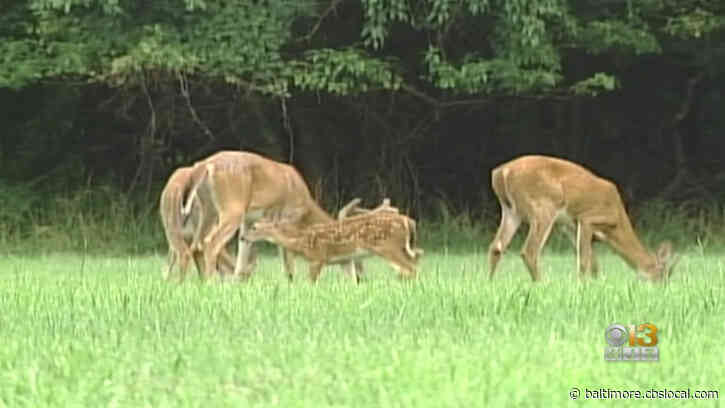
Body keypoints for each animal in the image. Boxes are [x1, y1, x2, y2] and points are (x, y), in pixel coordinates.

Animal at [182, 150, 362, 282]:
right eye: (352, 255)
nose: (358, 279)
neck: (306, 208)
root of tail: (205, 165)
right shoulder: (287, 220)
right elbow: (288, 263)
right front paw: (291, 285)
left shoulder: (249, 222)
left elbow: (242, 258)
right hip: (233, 208)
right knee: (210, 243)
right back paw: (210, 282)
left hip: (208, 209)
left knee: (196, 245)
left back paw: (202, 282)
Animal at [244, 199, 424, 283]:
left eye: (254, 227)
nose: (242, 237)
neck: (301, 241)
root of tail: (407, 221)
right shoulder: (345, 260)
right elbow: (352, 281)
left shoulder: (318, 257)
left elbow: (311, 282)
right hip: (402, 247)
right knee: (414, 262)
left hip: (389, 247)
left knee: (410, 268)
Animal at [487, 155, 679, 282]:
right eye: (663, 274)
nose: (662, 287)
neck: (616, 224)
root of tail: (502, 172)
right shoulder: (588, 219)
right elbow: (585, 260)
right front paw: (582, 285)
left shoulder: (570, 226)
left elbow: (593, 262)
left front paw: (594, 284)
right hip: (543, 206)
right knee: (530, 250)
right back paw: (540, 283)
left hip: (511, 211)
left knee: (496, 247)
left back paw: (490, 282)